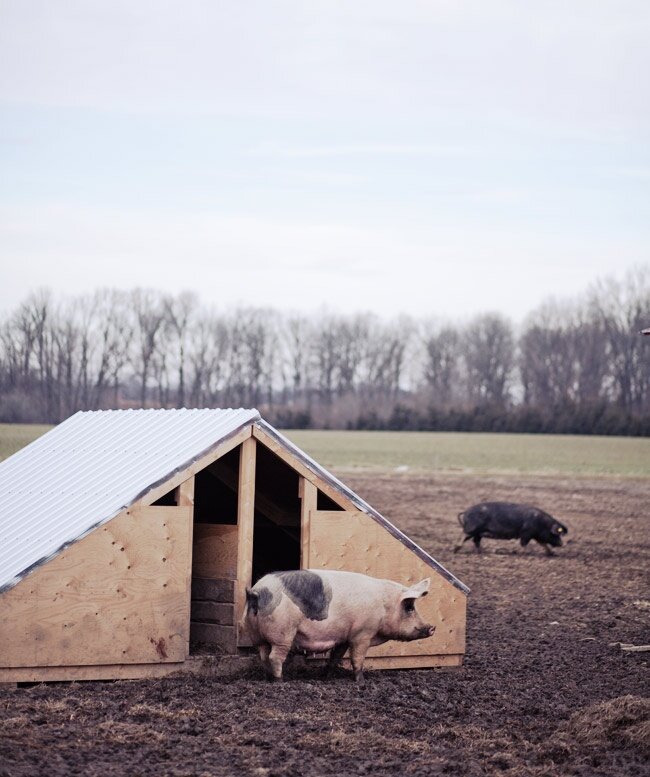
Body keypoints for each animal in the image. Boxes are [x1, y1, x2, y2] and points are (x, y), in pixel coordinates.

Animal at [240, 568, 432, 684]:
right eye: (409, 607)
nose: (432, 627)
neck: (384, 605)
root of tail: (256, 593)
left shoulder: (343, 638)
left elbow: (335, 658)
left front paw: (326, 677)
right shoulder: (362, 634)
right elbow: (357, 658)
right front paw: (361, 682)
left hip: (257, 635)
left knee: (264, 656)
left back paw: (269, 679)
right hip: (283, 633)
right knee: (275, 657)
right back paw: (280, 681)